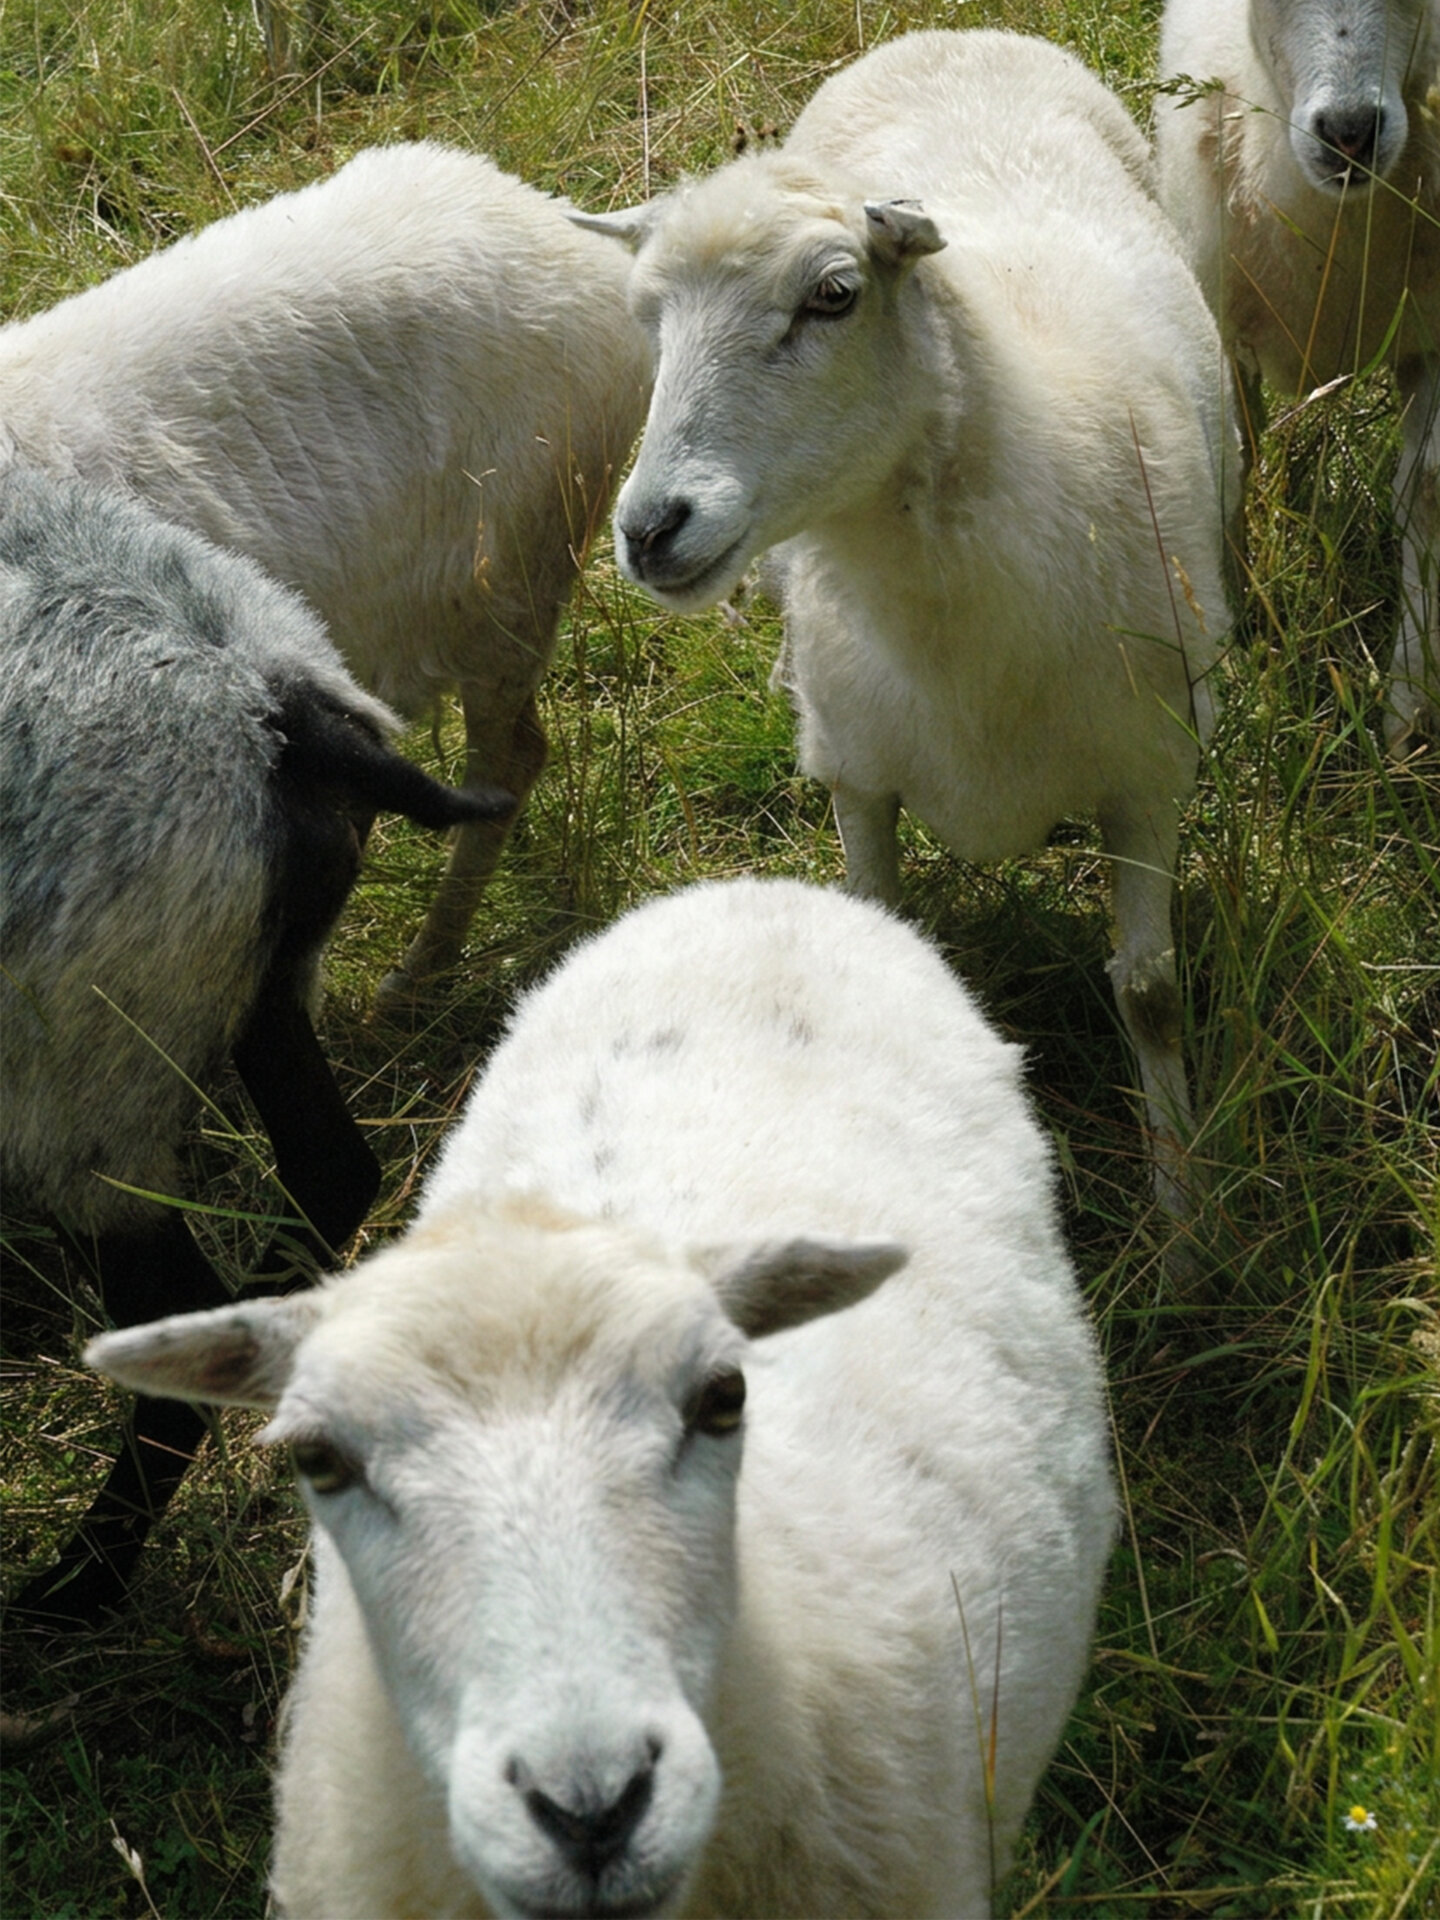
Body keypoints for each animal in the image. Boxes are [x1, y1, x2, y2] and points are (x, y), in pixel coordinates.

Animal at [1, 464, 512, 1626]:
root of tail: (272, 700)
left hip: (84, 1077)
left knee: (167, 1314)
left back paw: (75, 1590)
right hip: (244, 977)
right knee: (333, 1166)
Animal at [572, 29, 1236, 1227]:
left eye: (834, 296)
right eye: (648, 321)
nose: (650, 530)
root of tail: (948, 35)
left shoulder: (1149, 769)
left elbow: (1153, 994)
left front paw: (1187, 1220)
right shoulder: (862, 771)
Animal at [1155, 0, 1439, 755]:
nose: (1349, 134)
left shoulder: (1433, 342)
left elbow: (1426, 493)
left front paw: (1409, 711)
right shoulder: (1220, 325)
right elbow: (1230, 463)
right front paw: (1236, 641)